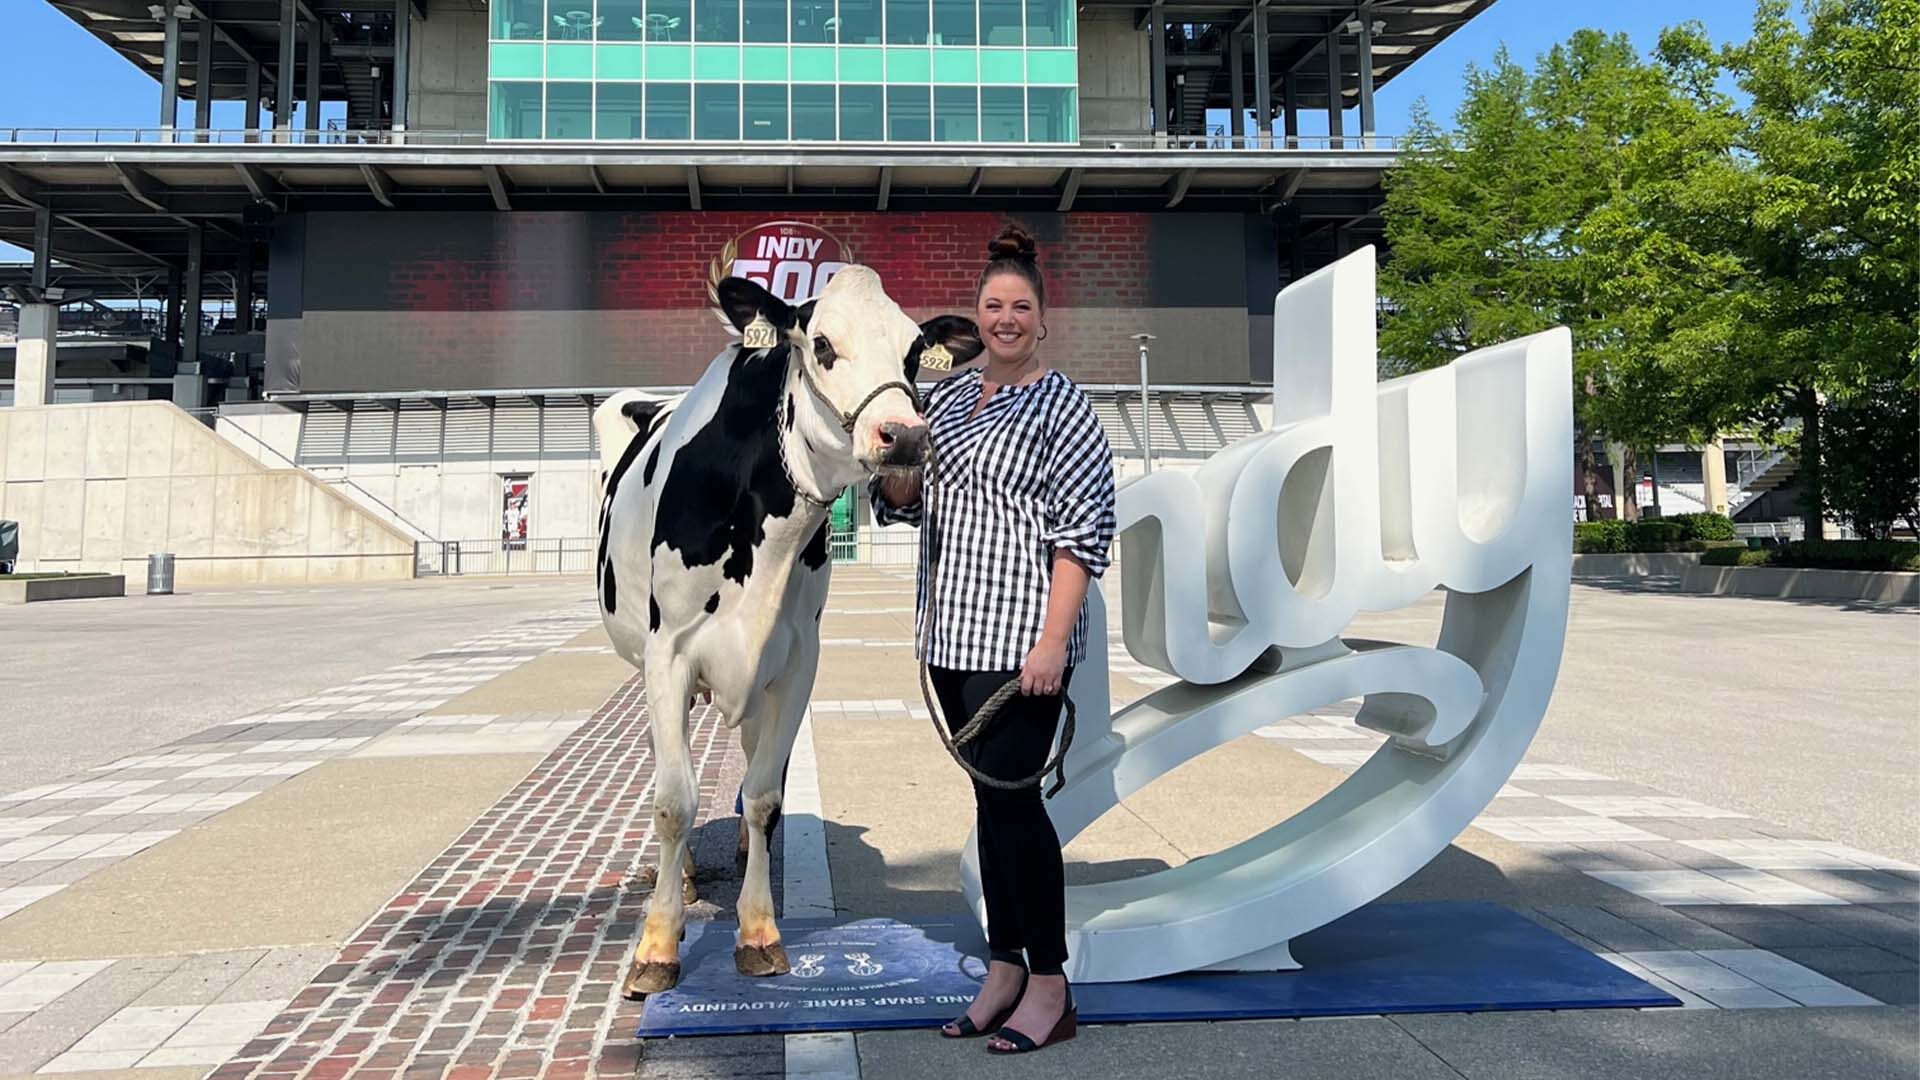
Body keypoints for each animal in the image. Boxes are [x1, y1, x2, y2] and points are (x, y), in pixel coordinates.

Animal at [591, 263, 983, 991]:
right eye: (822, 344)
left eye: (915, 353)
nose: (905, 436)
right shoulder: (669, 655)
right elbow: (674, 800)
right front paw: (657, 943)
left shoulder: (798, 659)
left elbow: (766, 794)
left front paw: (758, 930)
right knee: (669, 765)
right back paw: (685, 877)